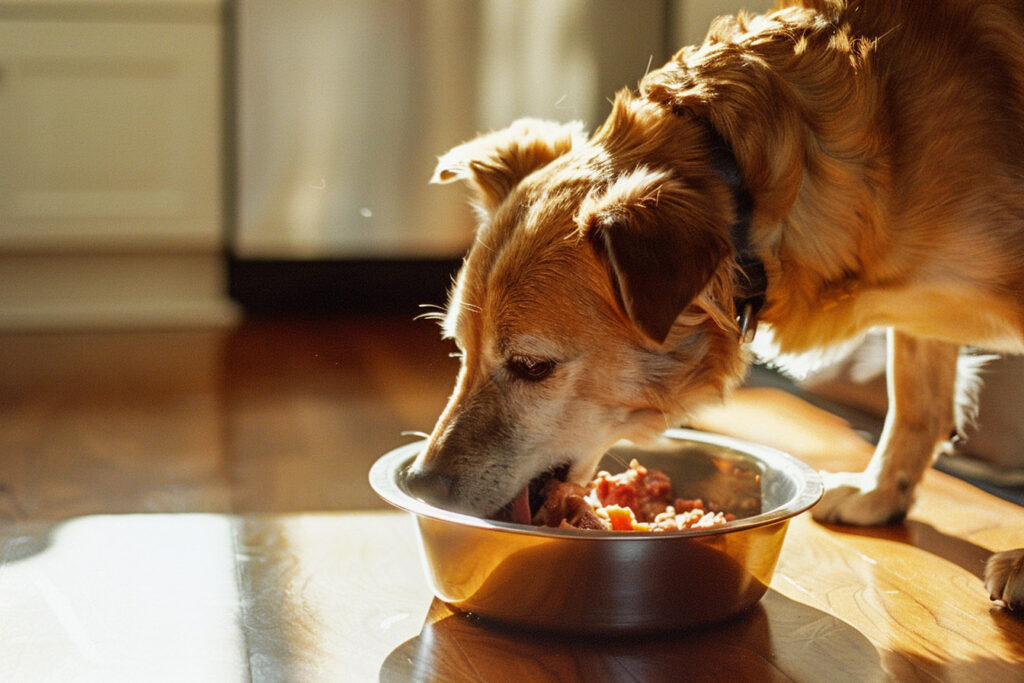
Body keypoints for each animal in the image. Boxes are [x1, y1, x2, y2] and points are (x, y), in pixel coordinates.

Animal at [403, 0, 1024, 610]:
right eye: (460, 351)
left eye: (533, 367)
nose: (418, 483)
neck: (748, 185)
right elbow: (915, 397)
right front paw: (881, 492)